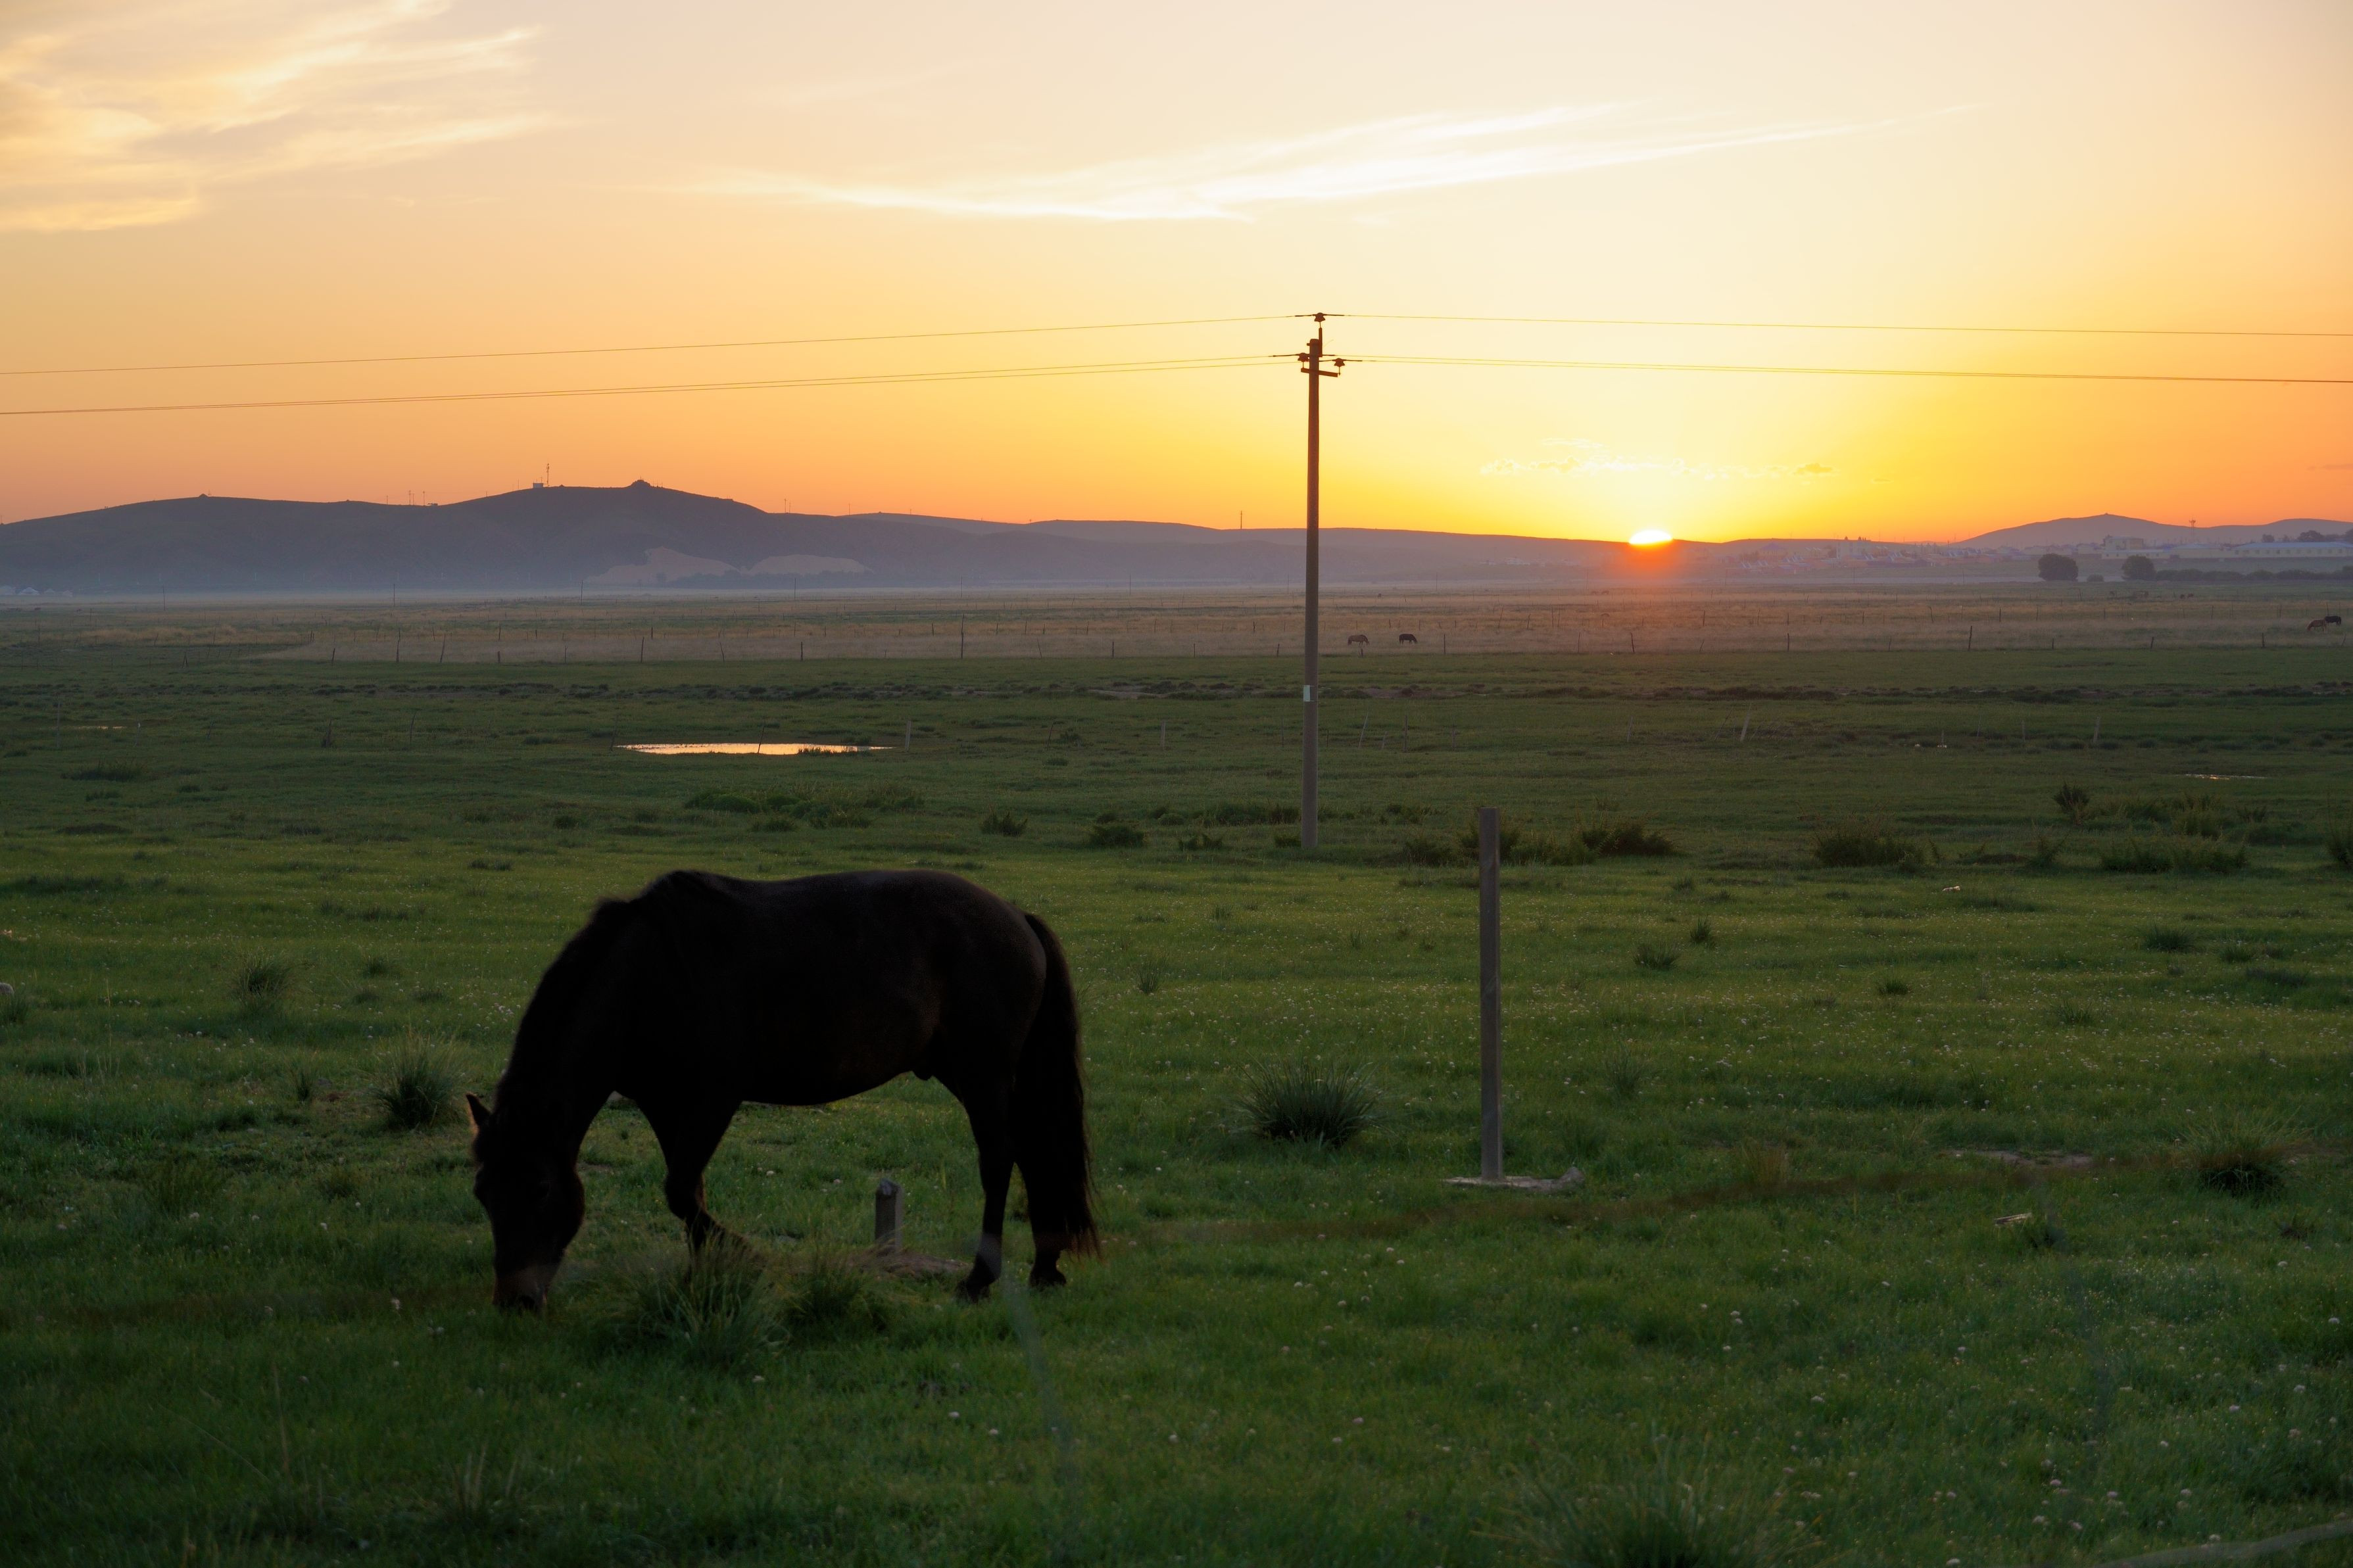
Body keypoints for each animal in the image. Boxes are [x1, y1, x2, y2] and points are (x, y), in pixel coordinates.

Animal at [465, 869, 1095, 1311]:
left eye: (539, 1188)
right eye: (483, 1194)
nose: (515, 1300)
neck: (648, 979)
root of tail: (1017, 916)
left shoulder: (712, 1099)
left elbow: (681, 1191)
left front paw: (743, 1256)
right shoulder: (666, 1104)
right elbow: (687, 1193)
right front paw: (707, 1274)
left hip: (981, 1073)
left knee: (1000, 1158)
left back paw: (979, 1278)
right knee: (1034, 1152)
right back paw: (1044, 1266)